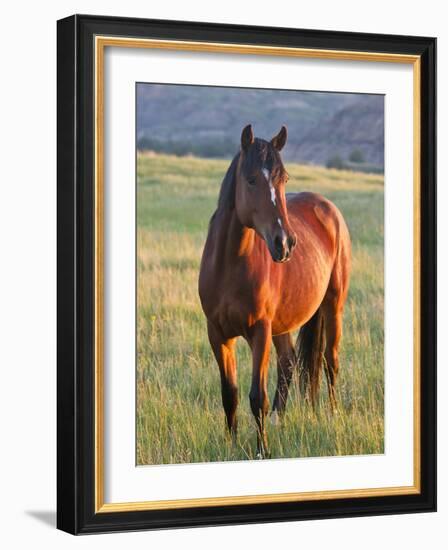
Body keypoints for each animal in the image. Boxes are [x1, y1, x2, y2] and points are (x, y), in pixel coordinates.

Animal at [199, 126, 350, 462]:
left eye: (284, 179)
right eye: (251, 179)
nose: (285, 243)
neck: (229, 265)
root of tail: (328, 207)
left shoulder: (260, 331)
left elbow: (258, 396)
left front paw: (261, 451)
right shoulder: (218, 334)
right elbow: (229, 394)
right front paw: (230, 446)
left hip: (333, 306)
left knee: (329, 361)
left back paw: (333, 416)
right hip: (283, 324)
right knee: (290, 361)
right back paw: (279, 421)